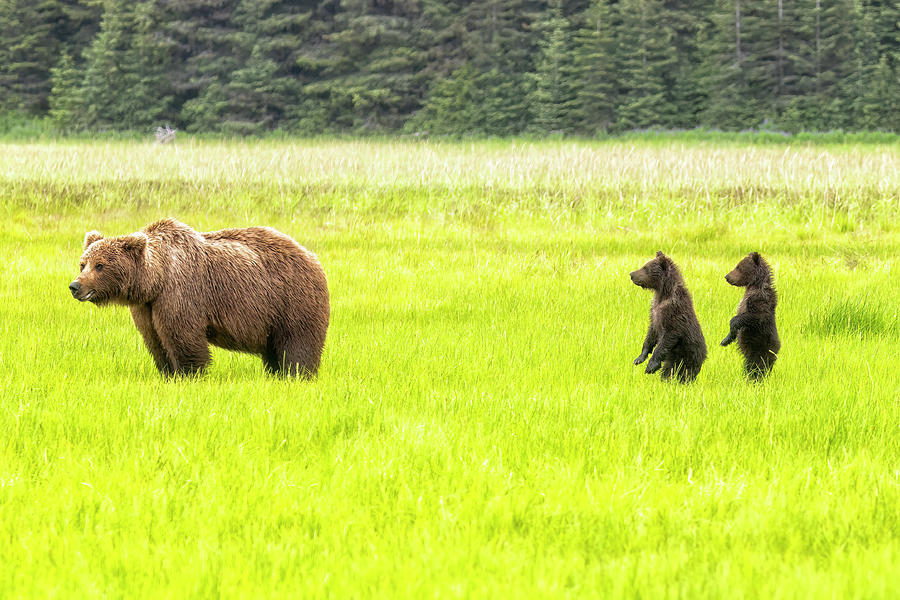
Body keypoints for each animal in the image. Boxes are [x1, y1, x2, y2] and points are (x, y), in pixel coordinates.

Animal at [69, 220, 330, 378]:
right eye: (83, 263)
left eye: (100, 265)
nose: (75, 286)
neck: (156, 279)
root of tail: (312, 257)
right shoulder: (147, 307)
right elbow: (155, 341)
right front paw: (168, 374)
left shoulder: (180, 293)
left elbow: (183, 338)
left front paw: (190, 375)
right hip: (272, 316)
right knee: (274, 350)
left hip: (292, 300)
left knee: (298, 344)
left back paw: (297, 375)